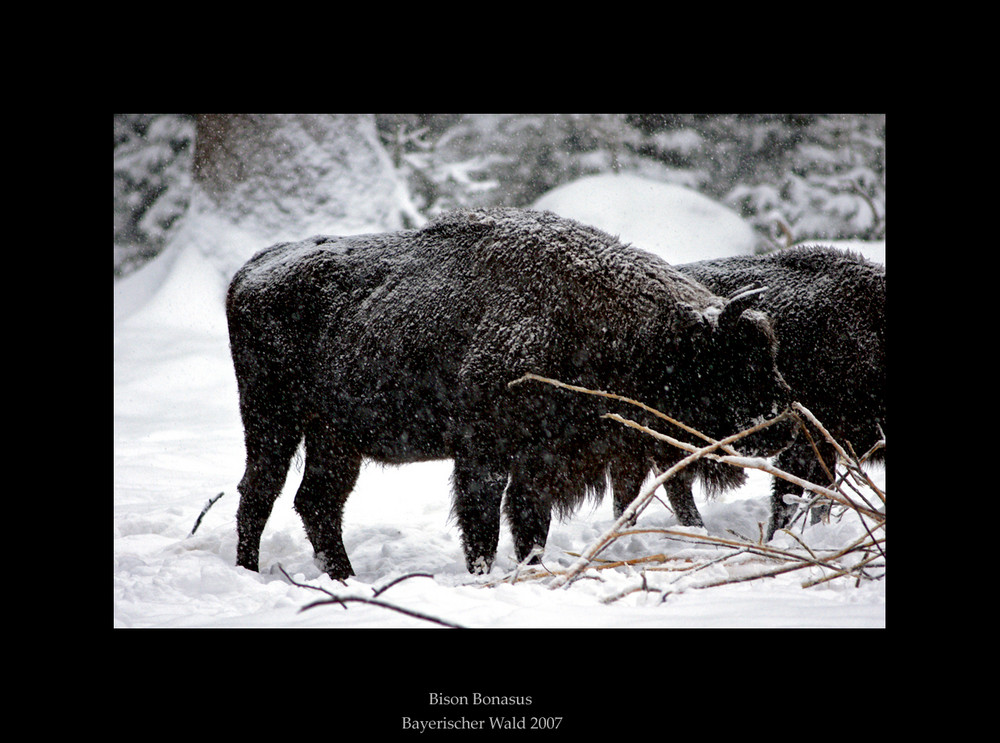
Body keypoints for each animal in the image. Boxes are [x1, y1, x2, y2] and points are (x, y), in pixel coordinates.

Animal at [227, 206, 796, 580]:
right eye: (734, 363)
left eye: (770, 353)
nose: (786, 423)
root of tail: (249, 272)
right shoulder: (484, 457)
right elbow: (483, 526)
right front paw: (484, 578)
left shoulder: (540, 464)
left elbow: (529, 529)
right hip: (272, 424)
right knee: (258, 495)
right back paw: (250, 571)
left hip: (335, 439)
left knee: (317, 502)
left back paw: (343, 577)